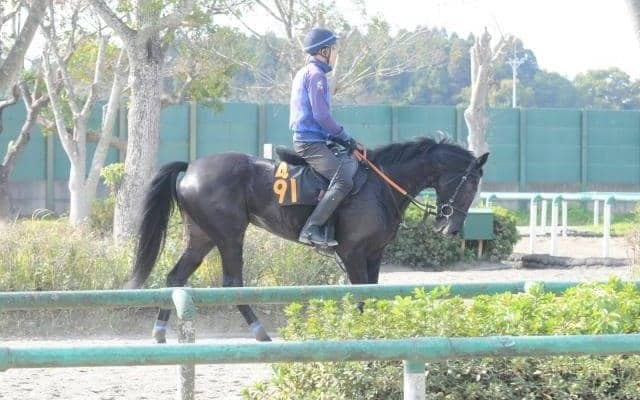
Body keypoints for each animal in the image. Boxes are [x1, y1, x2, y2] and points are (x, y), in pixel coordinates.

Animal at [127, 137, 489, 342]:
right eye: (471, 183)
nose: (451, 227)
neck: (381, 185)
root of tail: (191, 168)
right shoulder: (353, 254)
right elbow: (361, 295)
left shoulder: (374, 254)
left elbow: (373, 294)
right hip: (229, 235)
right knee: (232, 284)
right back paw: (260, 332)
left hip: (202, 238)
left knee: (175, 277)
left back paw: (159, 332)